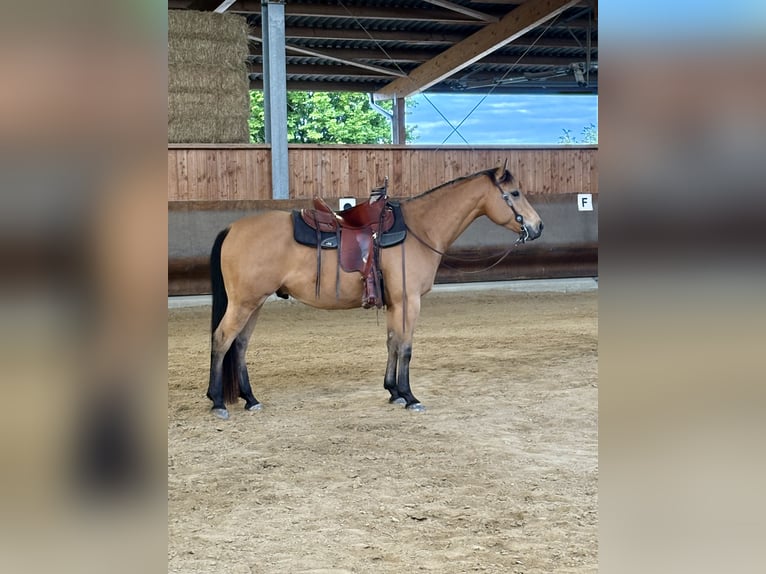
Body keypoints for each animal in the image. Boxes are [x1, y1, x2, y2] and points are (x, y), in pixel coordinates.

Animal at [206, 164, 544, 419]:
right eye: (515, 193)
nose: (537, 226)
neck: (419, 229)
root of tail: (233, 228)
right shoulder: (409, 302)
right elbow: (405, 347)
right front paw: (410, 396)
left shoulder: (395, 304)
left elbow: (392, 343)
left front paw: (393, 392)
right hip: (244, 303)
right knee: (222, 340)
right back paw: (218, 402)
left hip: (255, 303)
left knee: (240, 345)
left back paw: (250, 399)